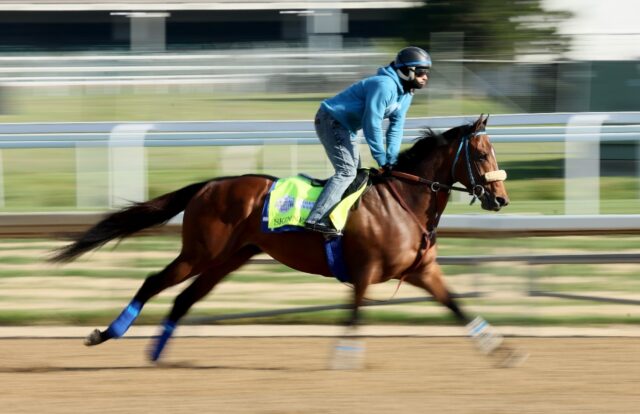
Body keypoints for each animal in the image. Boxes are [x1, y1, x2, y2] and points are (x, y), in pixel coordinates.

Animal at [47, 115, 524, 368]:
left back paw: (156, 353)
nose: (501, 198)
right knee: (153, 282)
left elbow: (457, 305)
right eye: (481, 153)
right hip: (201, 251)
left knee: (183, 299)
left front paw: (501, 351)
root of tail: (210, 184)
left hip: (229, 258)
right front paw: (344, 358)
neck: (404, 200)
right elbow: (355, 314)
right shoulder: (365, 270)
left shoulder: (423, 270)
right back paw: (107, 334)